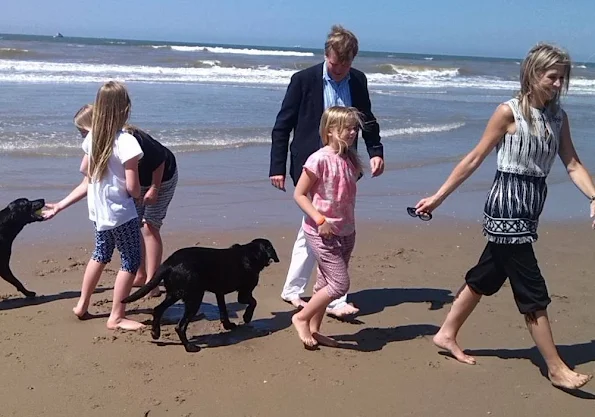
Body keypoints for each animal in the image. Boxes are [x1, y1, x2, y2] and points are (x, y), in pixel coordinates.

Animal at [123, 237, 280, 352]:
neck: (250, 253)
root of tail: (169, 263)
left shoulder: (219, 293)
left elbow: (223, 311)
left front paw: (228, 325)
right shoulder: (244, 293)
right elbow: (253, 302)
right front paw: (247, 317)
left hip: (175, 294)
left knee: (158, 309)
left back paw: (155, 333)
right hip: (194, 298)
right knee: (180, 326)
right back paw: (189, 347)